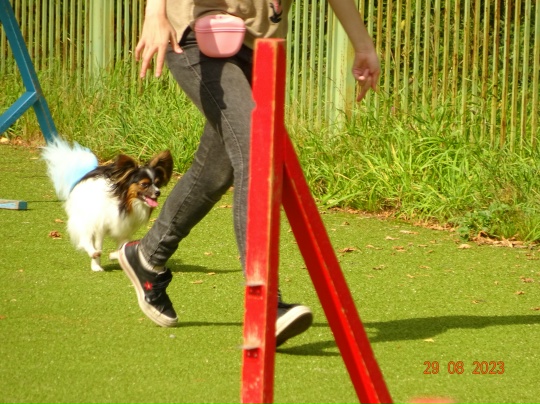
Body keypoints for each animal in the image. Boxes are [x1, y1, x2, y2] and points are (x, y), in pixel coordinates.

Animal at [42, 138, 173, 271]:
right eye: (144, 184)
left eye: (157, 183)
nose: (158, 192)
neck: (124, 202)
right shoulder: (100, 226)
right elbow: (98, 246)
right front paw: (96, 266)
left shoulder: (124, 228)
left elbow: (123, 245)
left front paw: (120, 257)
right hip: (86, 218)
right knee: (85, 239)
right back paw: (92, 252)